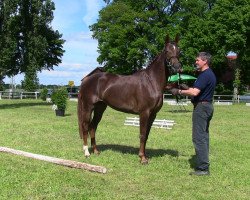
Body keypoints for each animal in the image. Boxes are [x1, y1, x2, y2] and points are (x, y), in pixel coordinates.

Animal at [78, 35, 182, 164]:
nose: (177, 68)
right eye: (167, 51)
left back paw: (96, 151)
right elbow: (142, 134)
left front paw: (145, 156)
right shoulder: (144, 113)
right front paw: (142, 158)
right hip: (88, 107)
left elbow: (147, 135)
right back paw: (87, 152)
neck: (151, 82)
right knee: (85, 126)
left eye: (179, 51)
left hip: (100, 108)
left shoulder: (153, 114)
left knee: (93, 126)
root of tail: (87, 80)